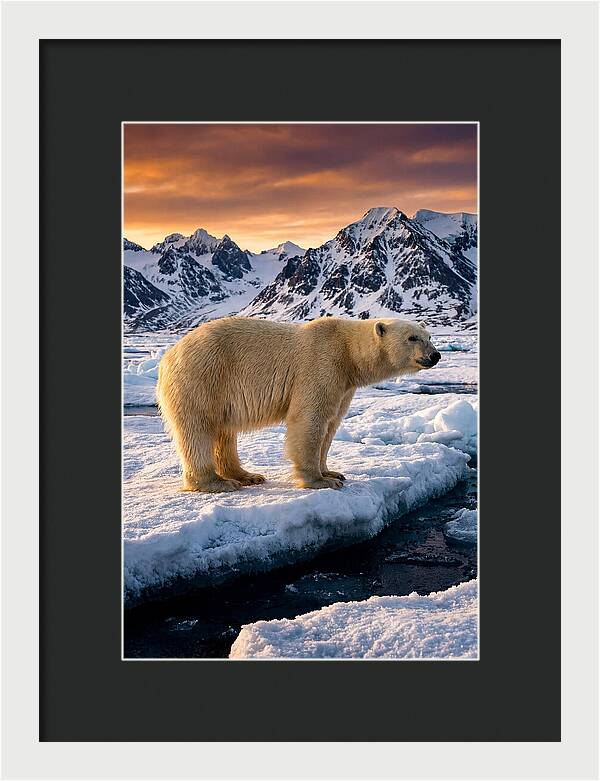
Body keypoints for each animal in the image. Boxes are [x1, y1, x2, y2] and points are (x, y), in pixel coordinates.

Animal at [157, 316, 440, 492]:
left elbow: (331, 424)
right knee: (198, 429)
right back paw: (216, 483)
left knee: (224, 432)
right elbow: (310, 420)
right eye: (412, 338)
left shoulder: (344, 385)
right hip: (203, 377)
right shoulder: (322, 364)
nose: (435, 355)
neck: (348, 352)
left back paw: (246, 475)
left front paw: (332, 472)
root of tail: (168, 355)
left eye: (428, 336)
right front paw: (320, 481)